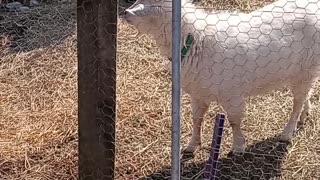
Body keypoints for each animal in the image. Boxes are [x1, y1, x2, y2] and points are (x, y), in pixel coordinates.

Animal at [121, 0, 320, 154]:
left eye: (153, 5)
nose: (125, 12)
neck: (197, 41)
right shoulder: (198, 93)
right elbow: (197, 119)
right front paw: (191, 145)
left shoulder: (231, 94)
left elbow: (234, 121)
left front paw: (238, 147)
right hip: (304, 73)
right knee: (305, 96)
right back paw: (305, 115)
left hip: (306, 69)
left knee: (297, 102)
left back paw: (287, 133)